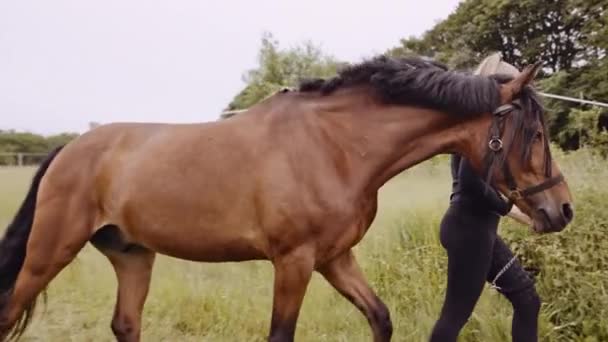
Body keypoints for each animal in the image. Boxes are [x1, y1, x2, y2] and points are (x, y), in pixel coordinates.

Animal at [0, 54, 572, 340]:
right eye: (534, 134)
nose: (561, 209)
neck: (334, 147)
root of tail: (68, 150)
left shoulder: (335, 259)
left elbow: (380, 318)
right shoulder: (293, 262)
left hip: (132, 254)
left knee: (125, 324)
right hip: (50, 250)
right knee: (9, 311)